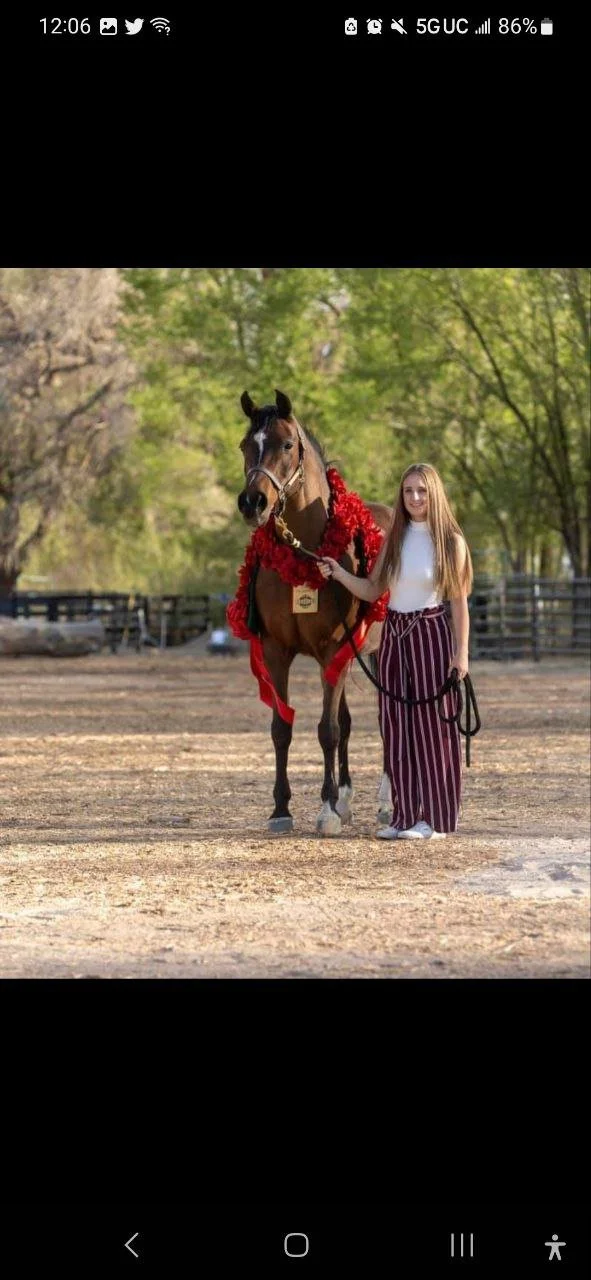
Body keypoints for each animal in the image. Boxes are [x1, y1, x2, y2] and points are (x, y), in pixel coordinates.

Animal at [235, 388, 392, 837]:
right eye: (245, 446)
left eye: (287, 444)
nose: (253, 502)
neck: (304, 554)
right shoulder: (276, 651)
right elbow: (282, 728)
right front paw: (281, 809)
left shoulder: (331, 650)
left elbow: (327, 730)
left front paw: (326, 811)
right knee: (349, 722)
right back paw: (347, 798)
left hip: (377, 652)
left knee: (383, 721)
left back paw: (383, 802)